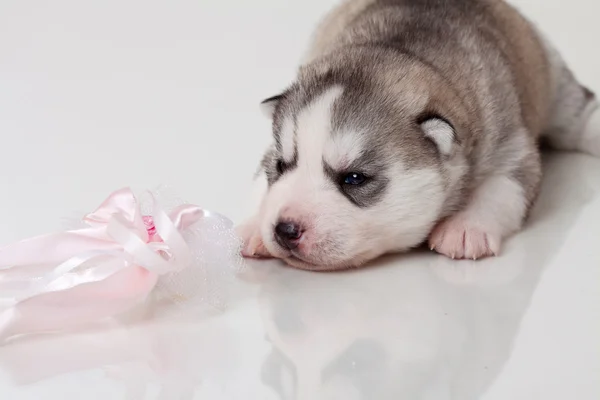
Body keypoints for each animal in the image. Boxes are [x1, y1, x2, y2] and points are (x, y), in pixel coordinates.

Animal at [239, 0, 600, 272]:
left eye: (354, 178)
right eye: (281, 165)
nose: (284, 229)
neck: (398, 50)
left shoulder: (511, 143)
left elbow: (504, 186)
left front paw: (466, 226)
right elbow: (258, 185)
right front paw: (254, 224)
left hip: (553, 78)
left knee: (576, 115)